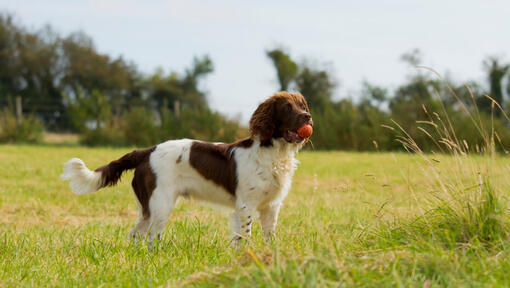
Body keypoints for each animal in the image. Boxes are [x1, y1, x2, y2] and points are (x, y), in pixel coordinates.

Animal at [61, 91, 312, 244]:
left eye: (302, 105)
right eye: (287, 108)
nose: (308, 117)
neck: (273, 152)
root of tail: (146, 151)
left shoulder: (271, 207)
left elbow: (270, 238)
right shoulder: (245, 206)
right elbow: (245, 237)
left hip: (149, 207)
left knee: (136, 234)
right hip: (161, 204)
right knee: (151, 237)